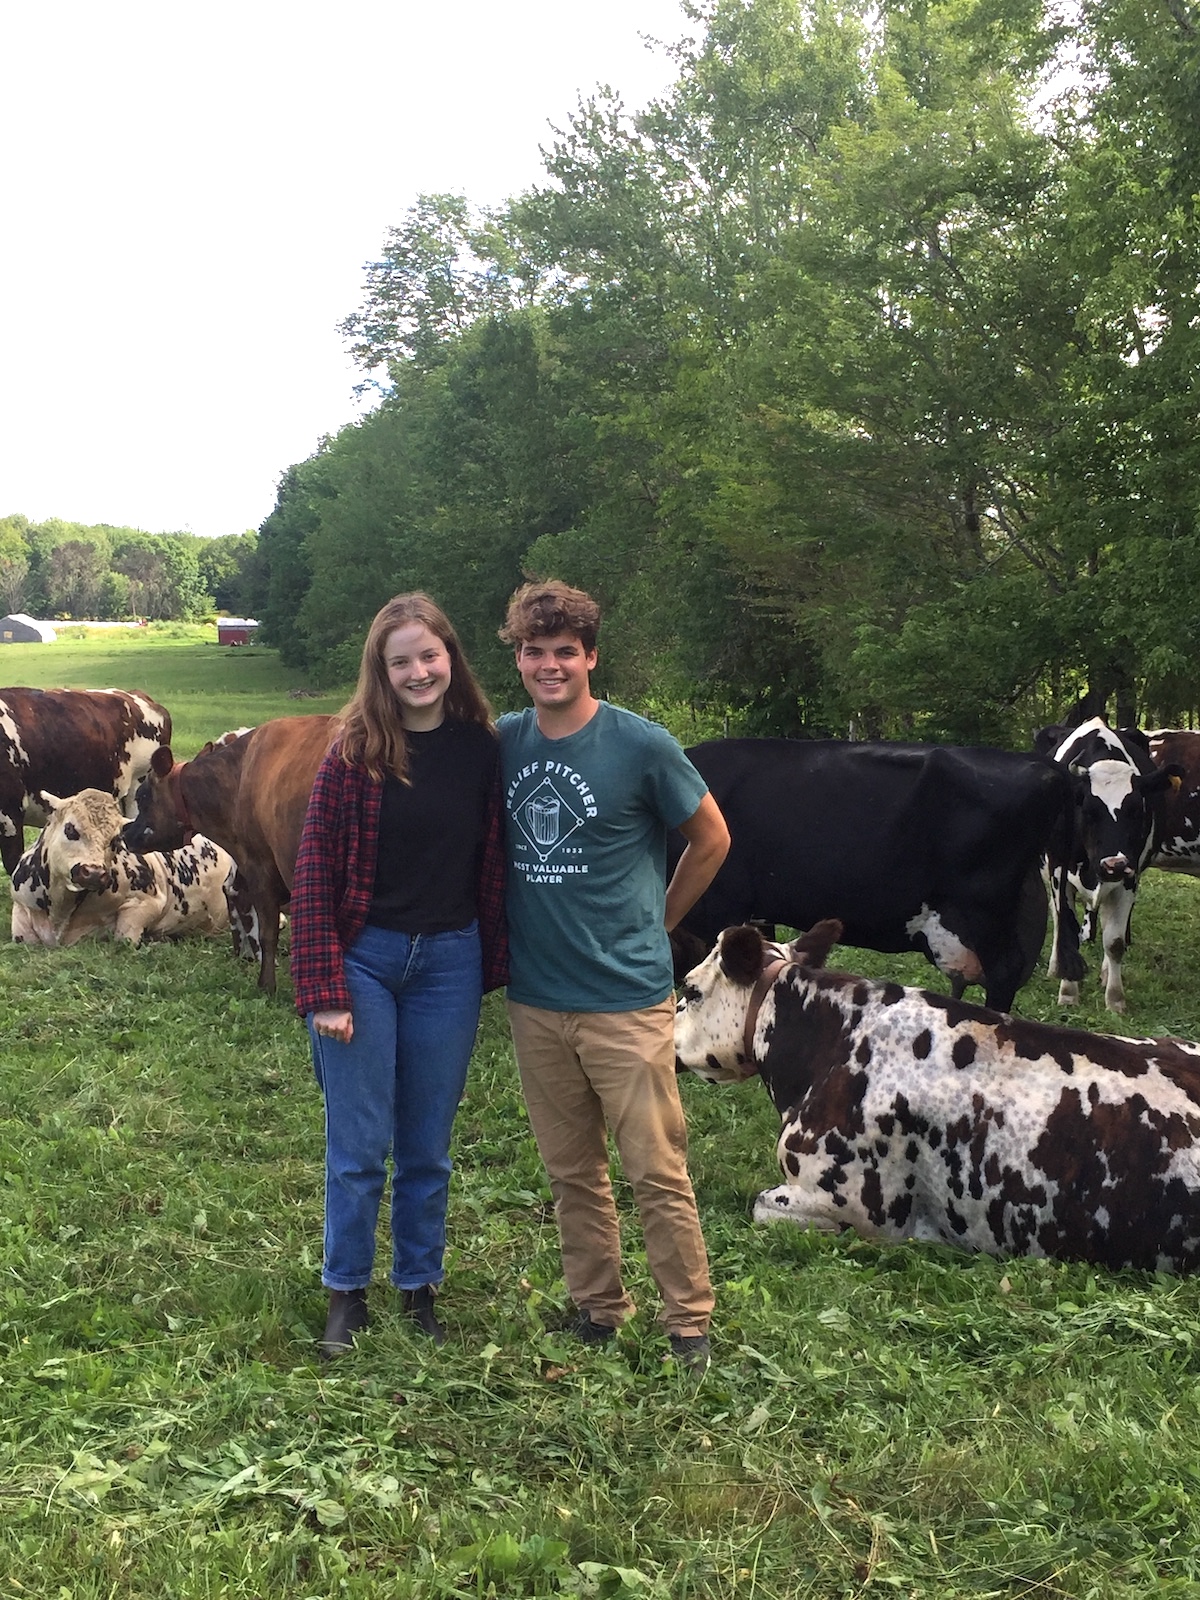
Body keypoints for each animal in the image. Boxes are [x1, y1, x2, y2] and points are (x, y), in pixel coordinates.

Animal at [11, 790, 236, 940]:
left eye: (115, 840)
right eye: (70, 829)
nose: (94, 873)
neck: (60, 909)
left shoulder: (149, 902)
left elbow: (124, 938)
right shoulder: (21, 908)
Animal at [1036, 716, 1184, 1011]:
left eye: (1136, 810)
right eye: (1089, 810)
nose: (1113, 864)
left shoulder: (1129, 877)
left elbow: (1114, 941)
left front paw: (1115, 998)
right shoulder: (1058, 871)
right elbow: (1066, 928)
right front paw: (1068, 991)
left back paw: (1105, 974)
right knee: (1057, 920)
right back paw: (1056, 966)